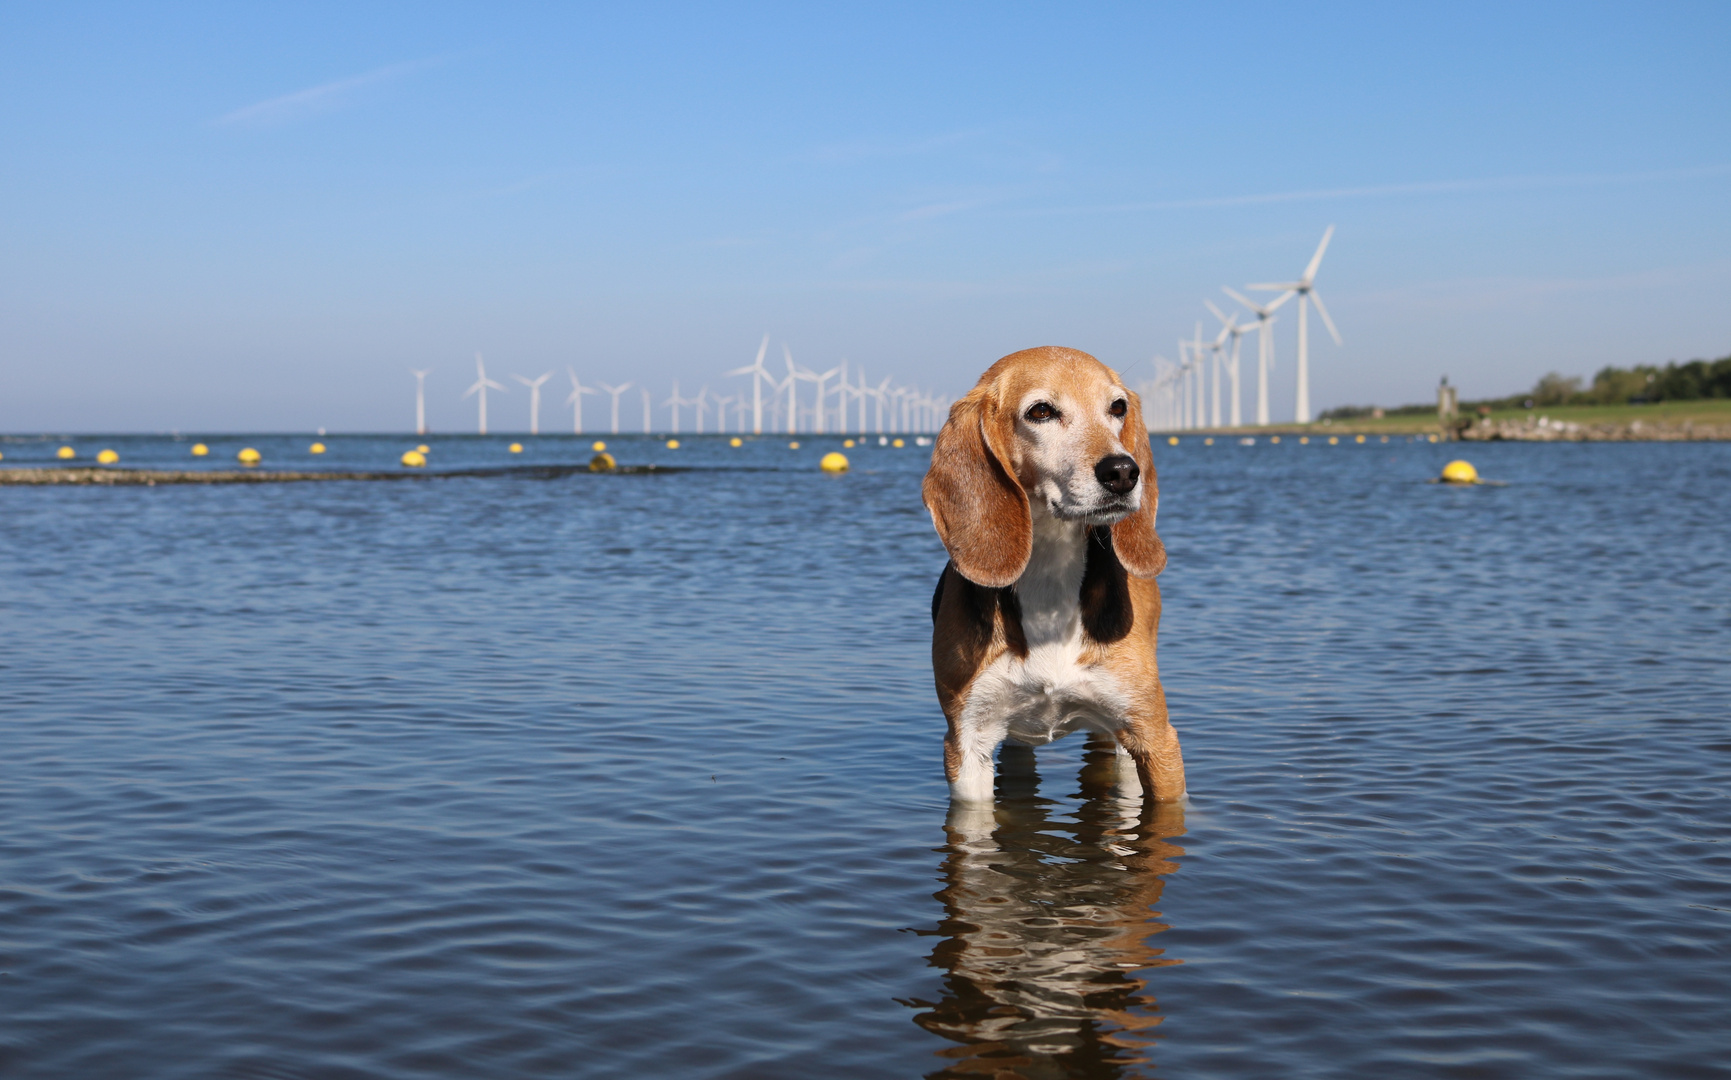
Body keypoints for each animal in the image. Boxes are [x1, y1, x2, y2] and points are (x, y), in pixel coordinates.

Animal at [920, 346, 1177, 803]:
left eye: (1118, 407)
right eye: (1041, 411)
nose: (1123, 471)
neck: (1049, 572)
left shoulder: (1155, 738)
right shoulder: (967, 745)